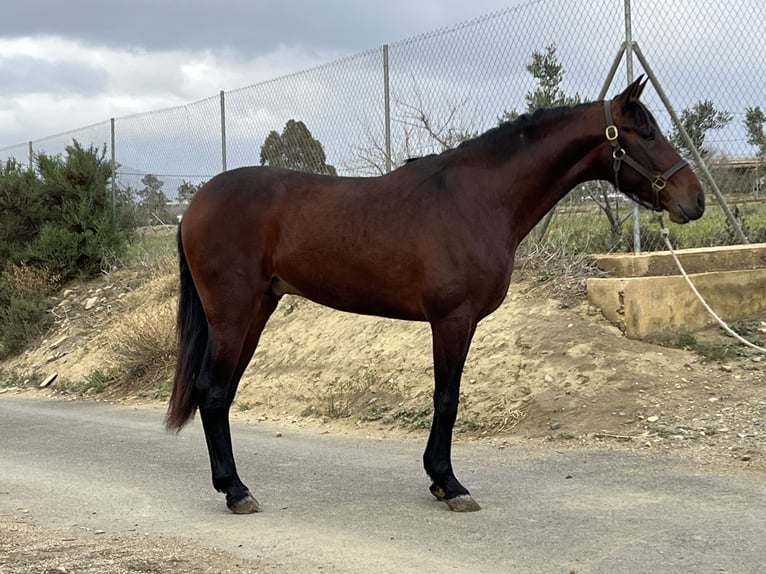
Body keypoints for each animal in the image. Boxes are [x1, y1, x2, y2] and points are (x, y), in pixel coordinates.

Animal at [165, 79, 704, 516]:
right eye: (647, 134)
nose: (694, 200)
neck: (478, 198)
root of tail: (194, 206)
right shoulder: (452, 319)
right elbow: (447, 399)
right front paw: (450, 484)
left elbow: (447, 397)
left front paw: (440, 482)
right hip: (232, 315)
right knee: (213, 392)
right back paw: (236, 491)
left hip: (257, 310)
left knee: (223, 393)